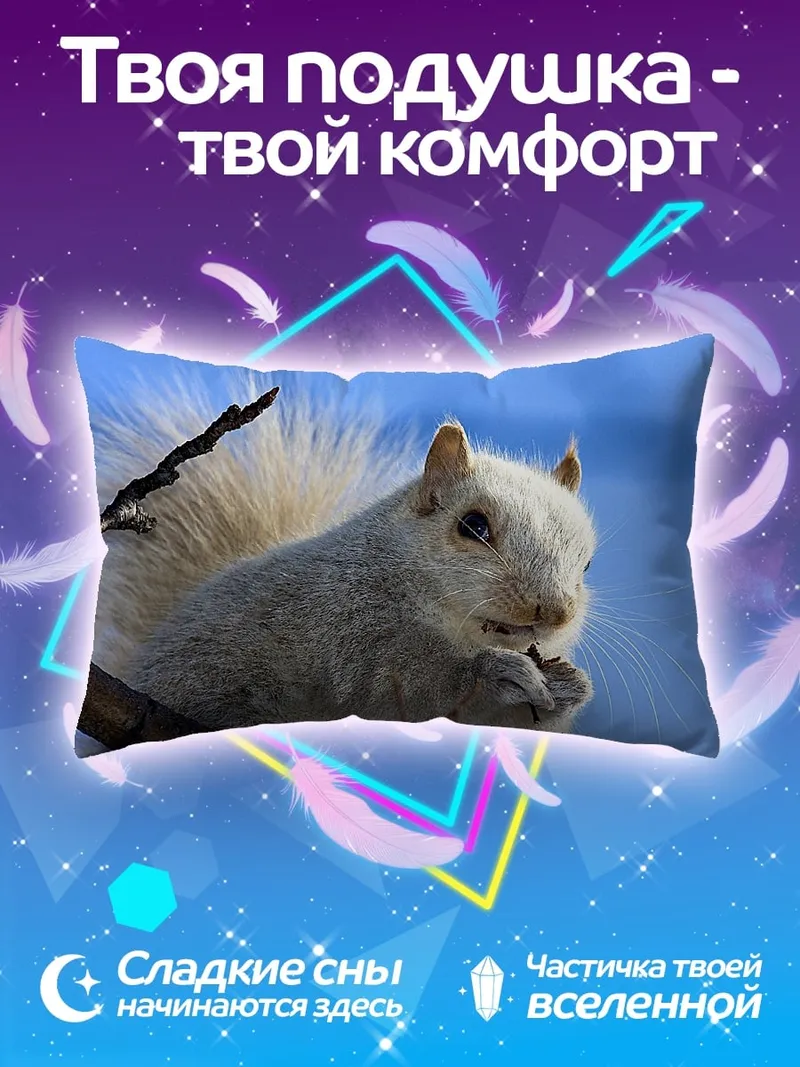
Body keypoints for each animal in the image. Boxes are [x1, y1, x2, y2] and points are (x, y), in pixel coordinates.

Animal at [92, 375, 596, 735]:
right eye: (473, 526)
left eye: (587, 562)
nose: (554, 611)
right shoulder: (349, 628)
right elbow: (405, 689)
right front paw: (497, 675)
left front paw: (570, 686)